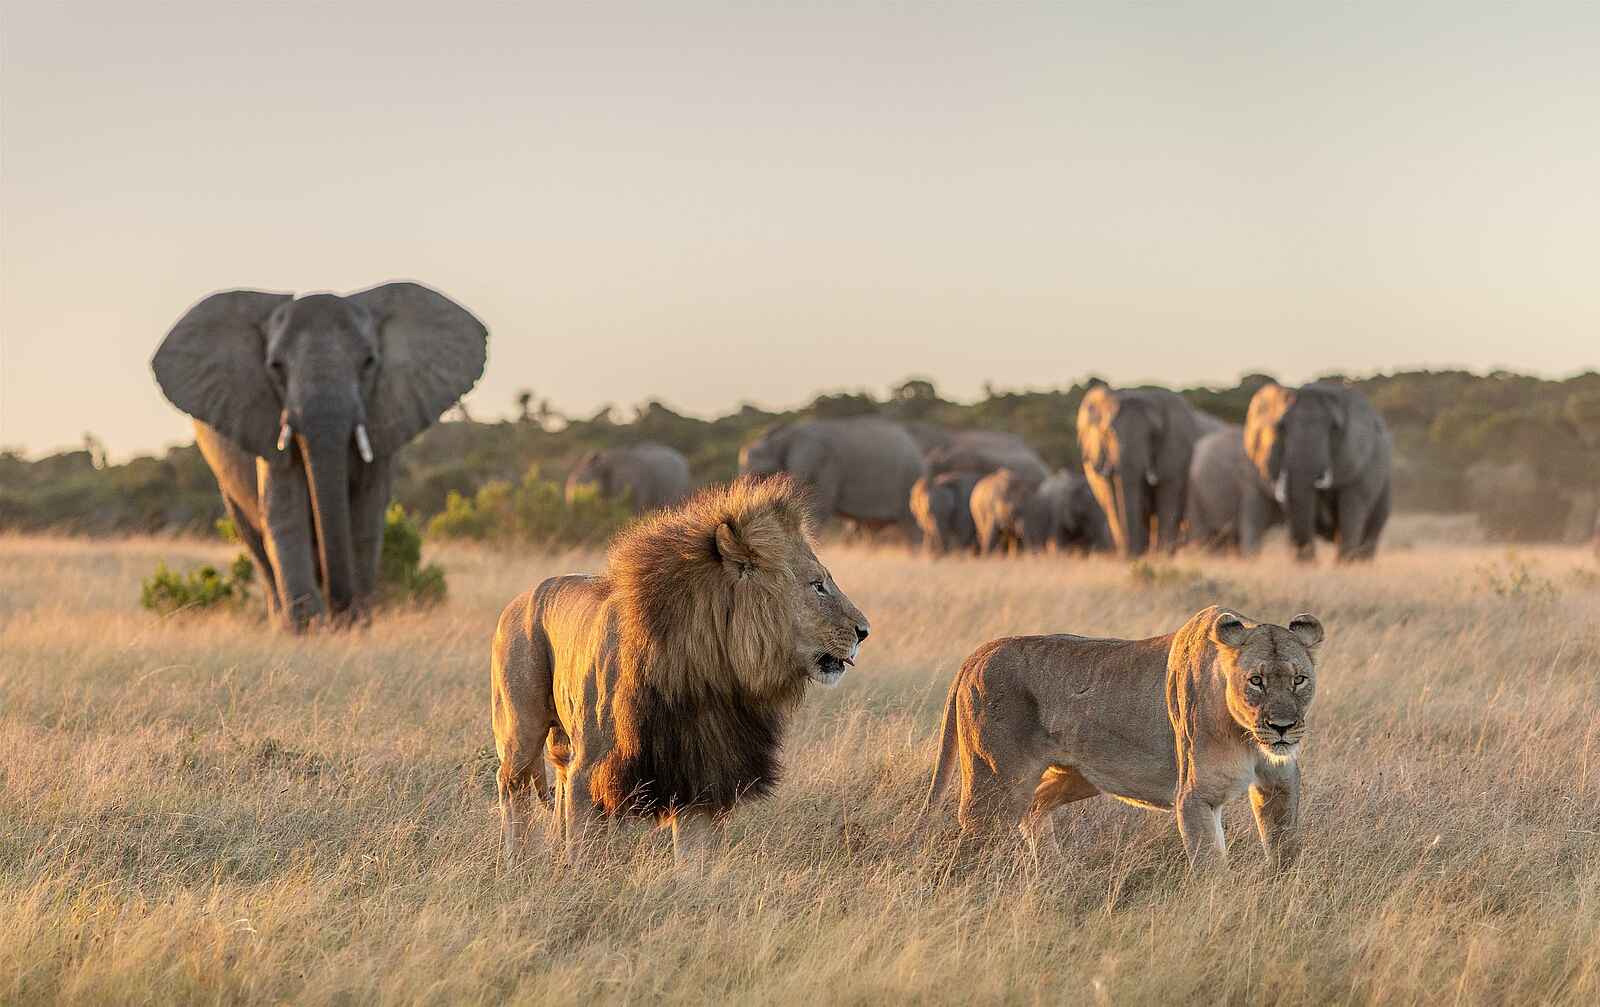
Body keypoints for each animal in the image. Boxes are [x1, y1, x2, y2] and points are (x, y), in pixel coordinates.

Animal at [491, 475, 870, 865]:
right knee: (512, 785)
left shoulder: (698, 777)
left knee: (556, 782)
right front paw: (580, 877)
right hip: (521, 729)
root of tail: (520, 598)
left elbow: (694, 860)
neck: (707, 674)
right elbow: (585, 850)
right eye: (818, 585)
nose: (864, 631)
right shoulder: (592, 771)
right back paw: (515, 860)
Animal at [922, 605, 1324, 869]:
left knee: (1034, 808)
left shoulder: (1280, 782)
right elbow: (1211, 865)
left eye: (1299, 680)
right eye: (1255, 681)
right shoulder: (1196, 796)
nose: (1283, 726)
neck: (1246, 735)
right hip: (995, 784)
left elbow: (1285, 849)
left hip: (1076, 775)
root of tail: (979, 653)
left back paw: (1053, 872)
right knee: (974, 838)